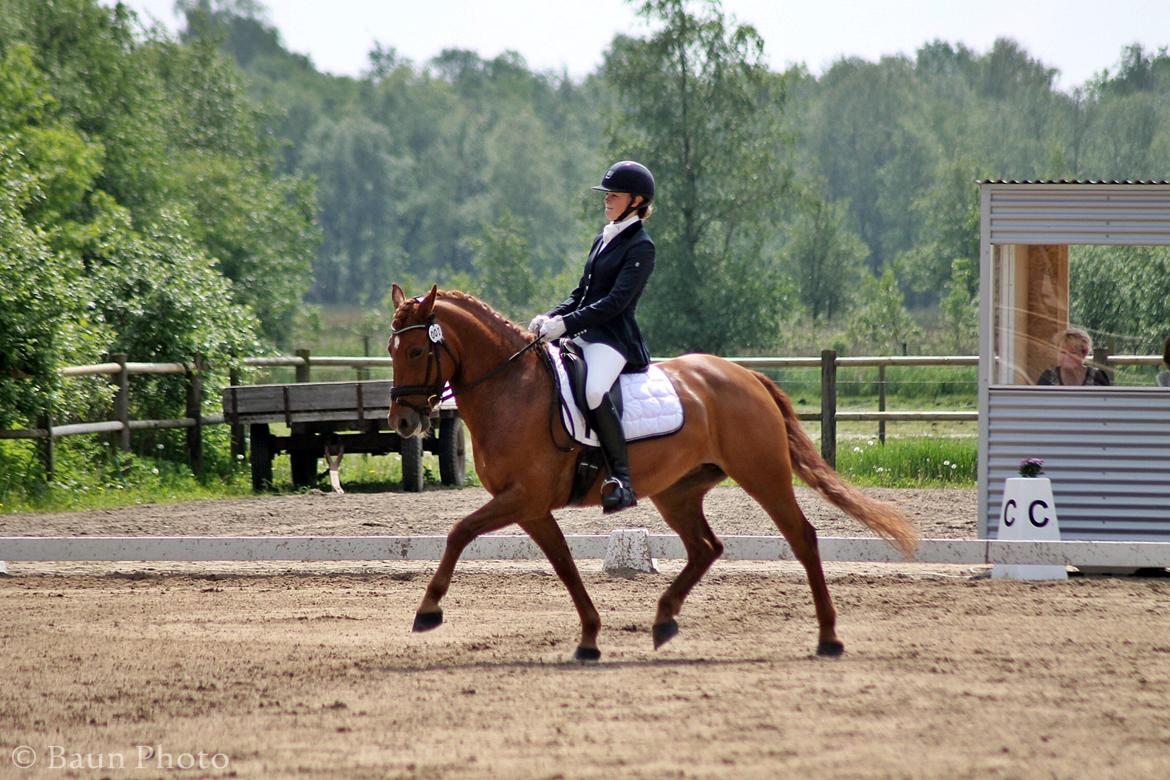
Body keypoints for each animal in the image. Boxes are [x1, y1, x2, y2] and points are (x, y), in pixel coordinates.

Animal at [387, 284, 918, 661]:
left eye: (415, 352)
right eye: (390, 350)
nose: (403, 422)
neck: (512, 389)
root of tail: (745, 375)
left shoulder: (523, 497)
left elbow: (460, 531)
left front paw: (428, 610)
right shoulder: (531, 507)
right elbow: (563, 563)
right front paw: (589, 638)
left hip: (762, 476)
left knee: (802, 537)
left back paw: (829, 637)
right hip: (677, 492)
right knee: (706, 547)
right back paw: (664, 621)